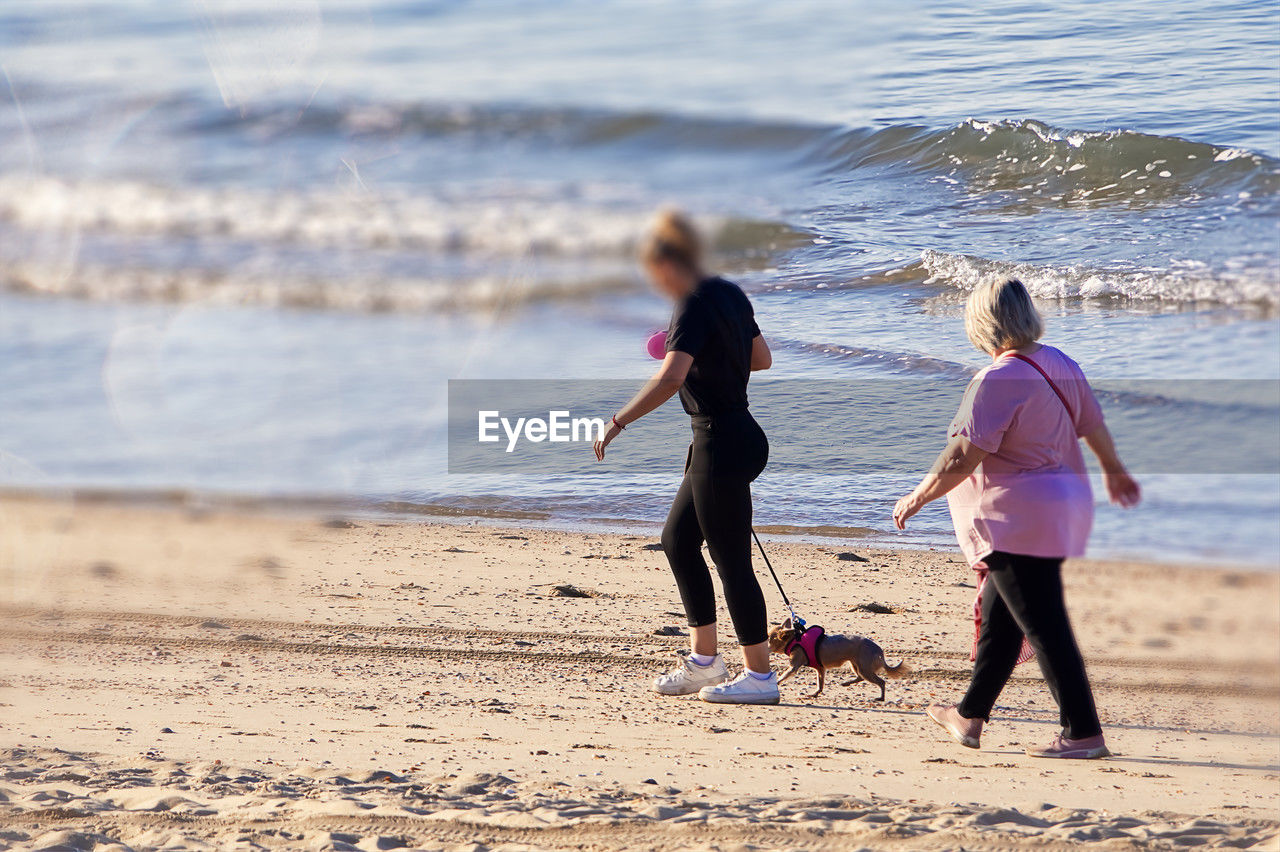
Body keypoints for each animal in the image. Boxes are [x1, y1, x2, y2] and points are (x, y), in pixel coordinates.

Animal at [762, 616, 906, 695]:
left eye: (768, 638)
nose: (762, 644)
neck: (795, 640)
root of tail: (878, 650)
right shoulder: (820, 669)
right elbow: (820, 684)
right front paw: (815, 694)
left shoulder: (794, 666)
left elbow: (784, 675)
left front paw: (777, 682)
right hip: (856, 665)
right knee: (860, 677)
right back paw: (846, 683)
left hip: (864, 667)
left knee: (881, 682)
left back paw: (880, 698)